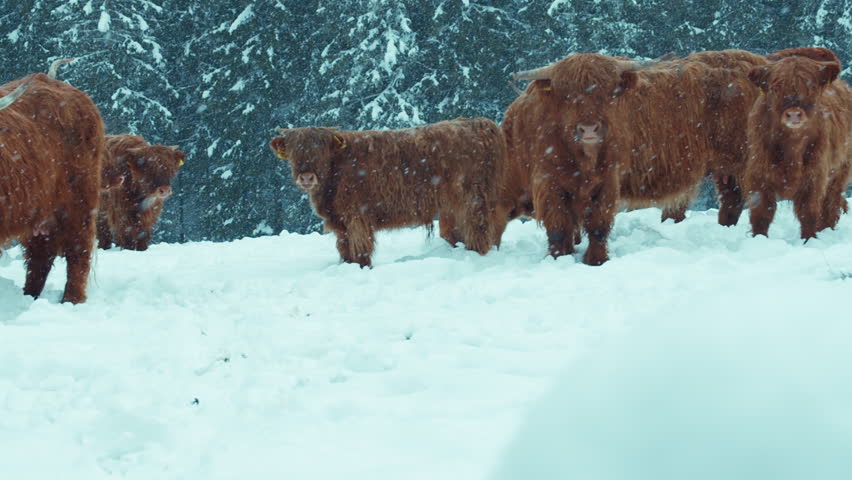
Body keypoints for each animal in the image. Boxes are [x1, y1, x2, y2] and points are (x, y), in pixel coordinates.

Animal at [0, 59, 104, 303]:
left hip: (79, 201)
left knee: (78, 251)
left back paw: (71, 300)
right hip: (40, 210)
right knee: (40, 256)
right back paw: (29, 297)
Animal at [269, 117, 507, 267]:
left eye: (321, 150)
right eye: (294, 151)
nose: (306, 177)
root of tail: (477, 122)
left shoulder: (357, 218)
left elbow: (360, 250)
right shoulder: (340, 224)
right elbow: (345, 250)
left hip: (473, 199)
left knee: (478, 230)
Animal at [744, 54, 851, 240]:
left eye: (812, 86)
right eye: (776, 87)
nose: (794, 114)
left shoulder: (814, 176)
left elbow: (808, 213)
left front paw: (809, 240)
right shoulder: (759, 174)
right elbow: (761, 213)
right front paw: (759, 239)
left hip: (839, 173)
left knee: (830, 205)